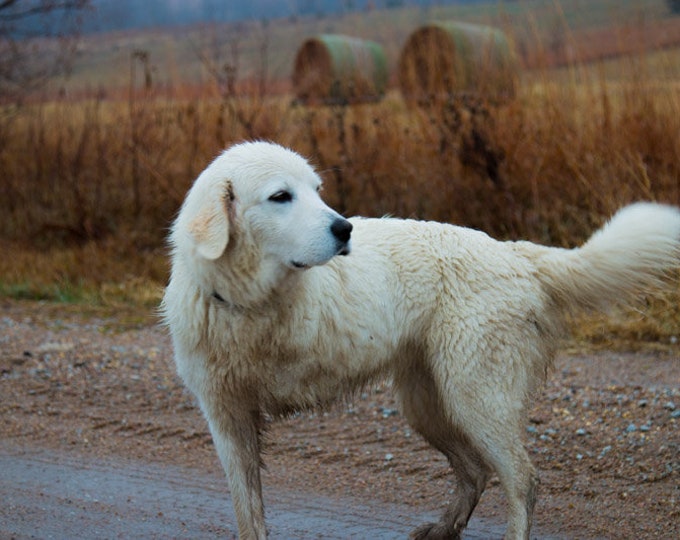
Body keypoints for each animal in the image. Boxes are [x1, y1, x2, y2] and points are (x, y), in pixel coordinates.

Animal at [162, 142, 676, 540]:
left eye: (316, 191)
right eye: (280, 196)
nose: (344, 228)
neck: (246, 301)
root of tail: (513, 252)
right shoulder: (227, 418)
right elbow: (247, 509)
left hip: (476, 398)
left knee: (522, 479)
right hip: (428, 404)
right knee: (476, 472)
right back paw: (444, 528)